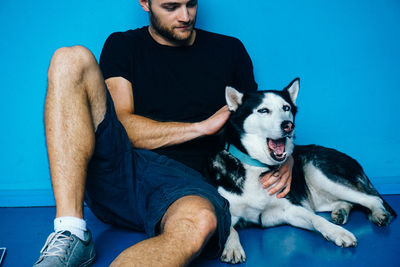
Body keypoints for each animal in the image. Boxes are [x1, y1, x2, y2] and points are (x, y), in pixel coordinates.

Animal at [209, 78, 396, 264]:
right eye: (263, 110)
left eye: (286, 108)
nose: (288, 125)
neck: (257, 166)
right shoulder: (229, 212)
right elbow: (229, 229)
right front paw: (232, 246)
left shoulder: (289, 209)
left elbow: (316, 219)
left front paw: (337, 232)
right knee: (348, 202)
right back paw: (341, 211)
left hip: (319, 174)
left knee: (373, 199)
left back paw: (379, 213)